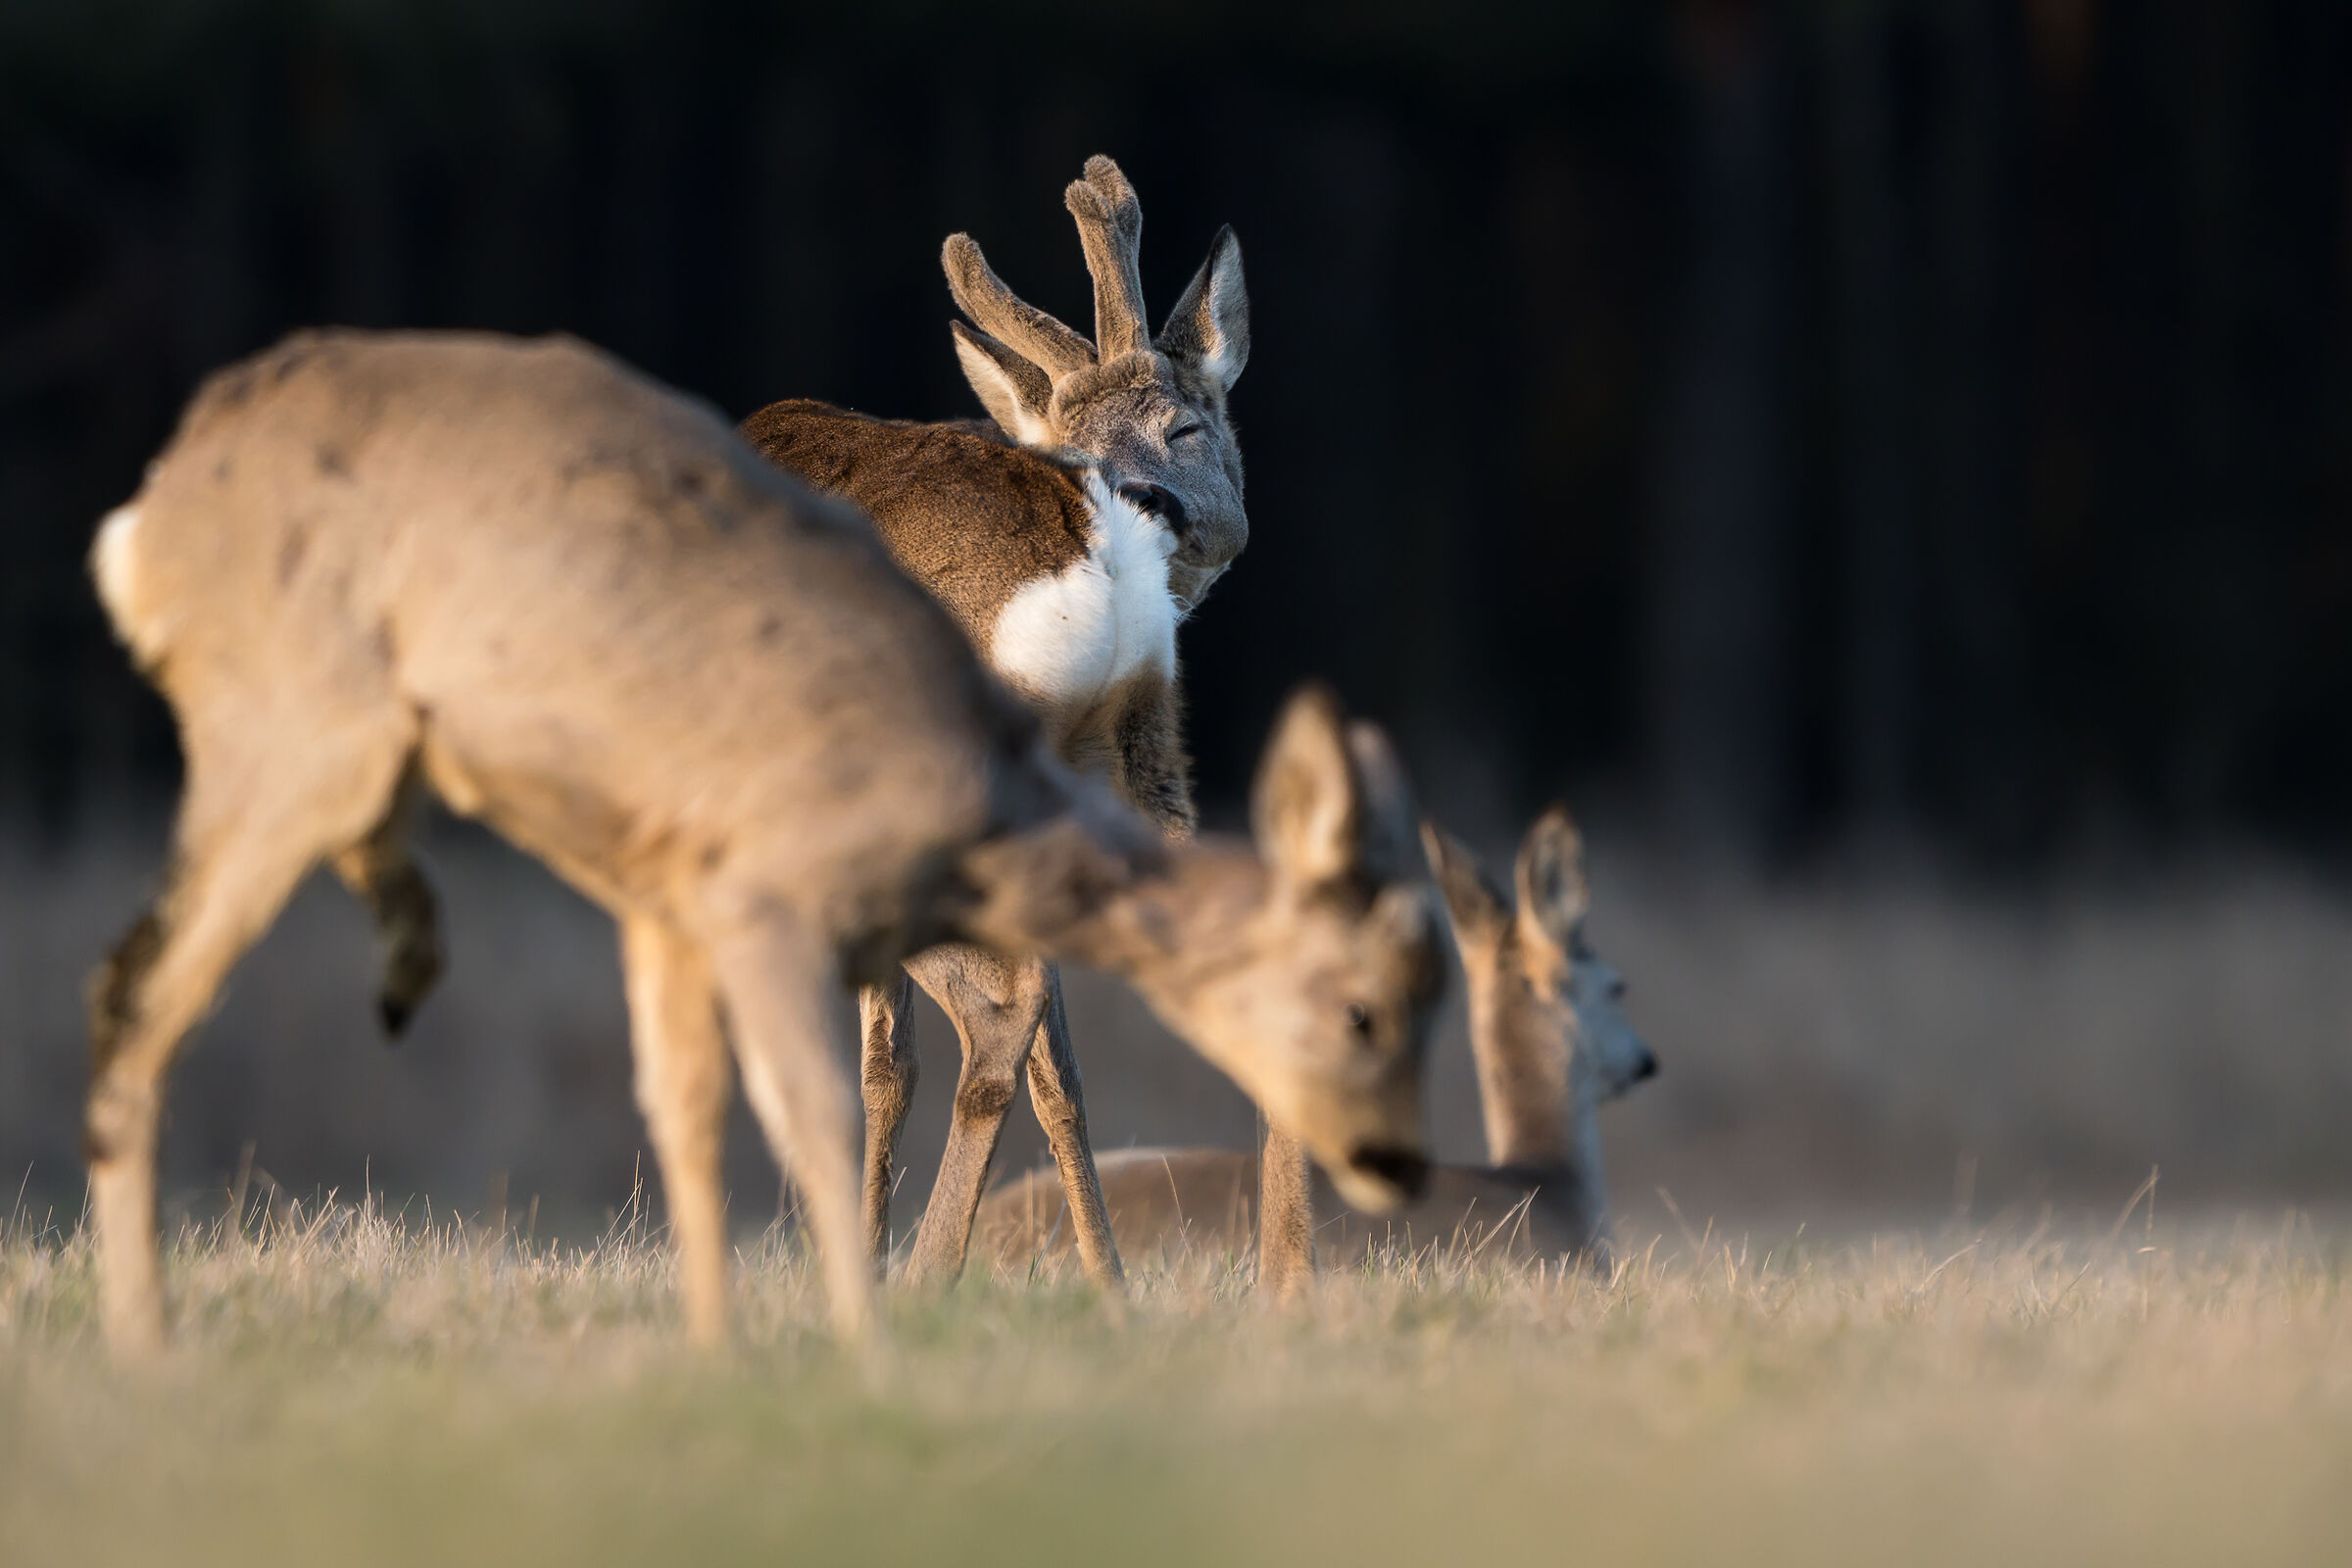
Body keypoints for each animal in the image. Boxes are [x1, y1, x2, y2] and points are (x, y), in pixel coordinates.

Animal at [728, 155, 1268, 1293]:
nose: (1141, 493)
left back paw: (928, 1269)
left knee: (995, 1014)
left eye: (1185, 426)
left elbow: (879, 1060)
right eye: (1072, 438)